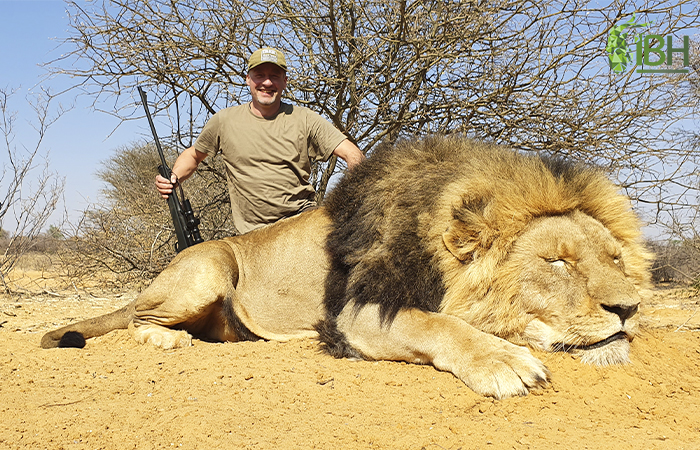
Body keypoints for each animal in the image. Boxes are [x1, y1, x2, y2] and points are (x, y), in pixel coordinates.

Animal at [39, 137, 652, 400]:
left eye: (614, 258)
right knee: (138, 318)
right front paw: (503, 361)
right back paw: (169, 340)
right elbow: (437, 324)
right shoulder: (356, 313)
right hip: (210, 266)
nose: (629, 308)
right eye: (557, 262)